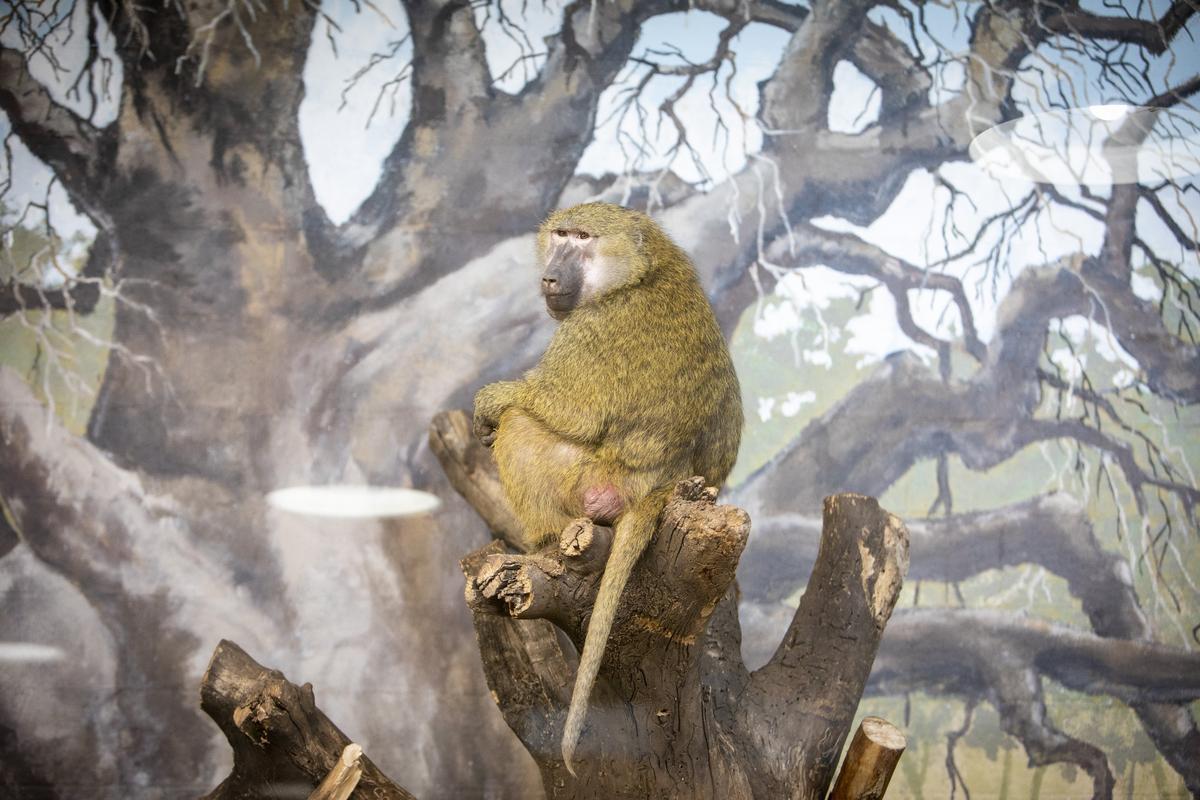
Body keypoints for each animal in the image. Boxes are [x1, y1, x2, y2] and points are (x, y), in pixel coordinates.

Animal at [472, 202, 742, 774]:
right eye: (559, 236)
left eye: (582, 239)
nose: (550, 276)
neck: (641, 269)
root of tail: (660, 488)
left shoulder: (592, 329)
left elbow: (562, 409)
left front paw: (492, 401)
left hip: (587, 480)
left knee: (522, 425)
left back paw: (544, 544)